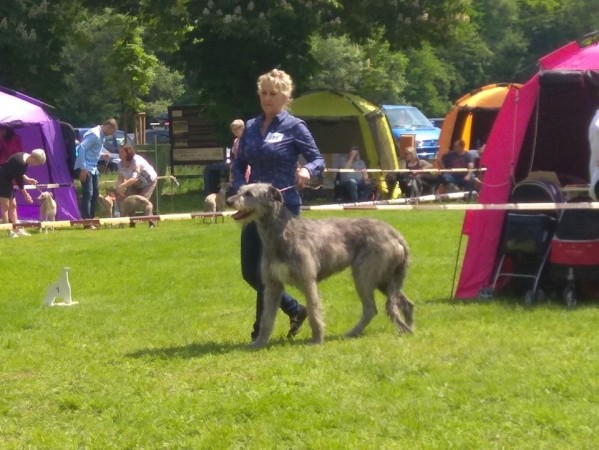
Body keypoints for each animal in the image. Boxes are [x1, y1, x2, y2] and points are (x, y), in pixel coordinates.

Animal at [227, 183, 414, 348]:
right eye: (240, 190)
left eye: (249, 194)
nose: (229, 201)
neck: (281, 232)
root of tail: (394, 232)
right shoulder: (272, 285)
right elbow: (267, 317)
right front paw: (259, 342)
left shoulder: (308, 281)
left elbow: (313, 312)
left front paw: (317, 341)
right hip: (385, 278)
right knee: (406, 302)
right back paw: (409, 328)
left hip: (364, 275)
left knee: (371, 308)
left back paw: (352, 333)